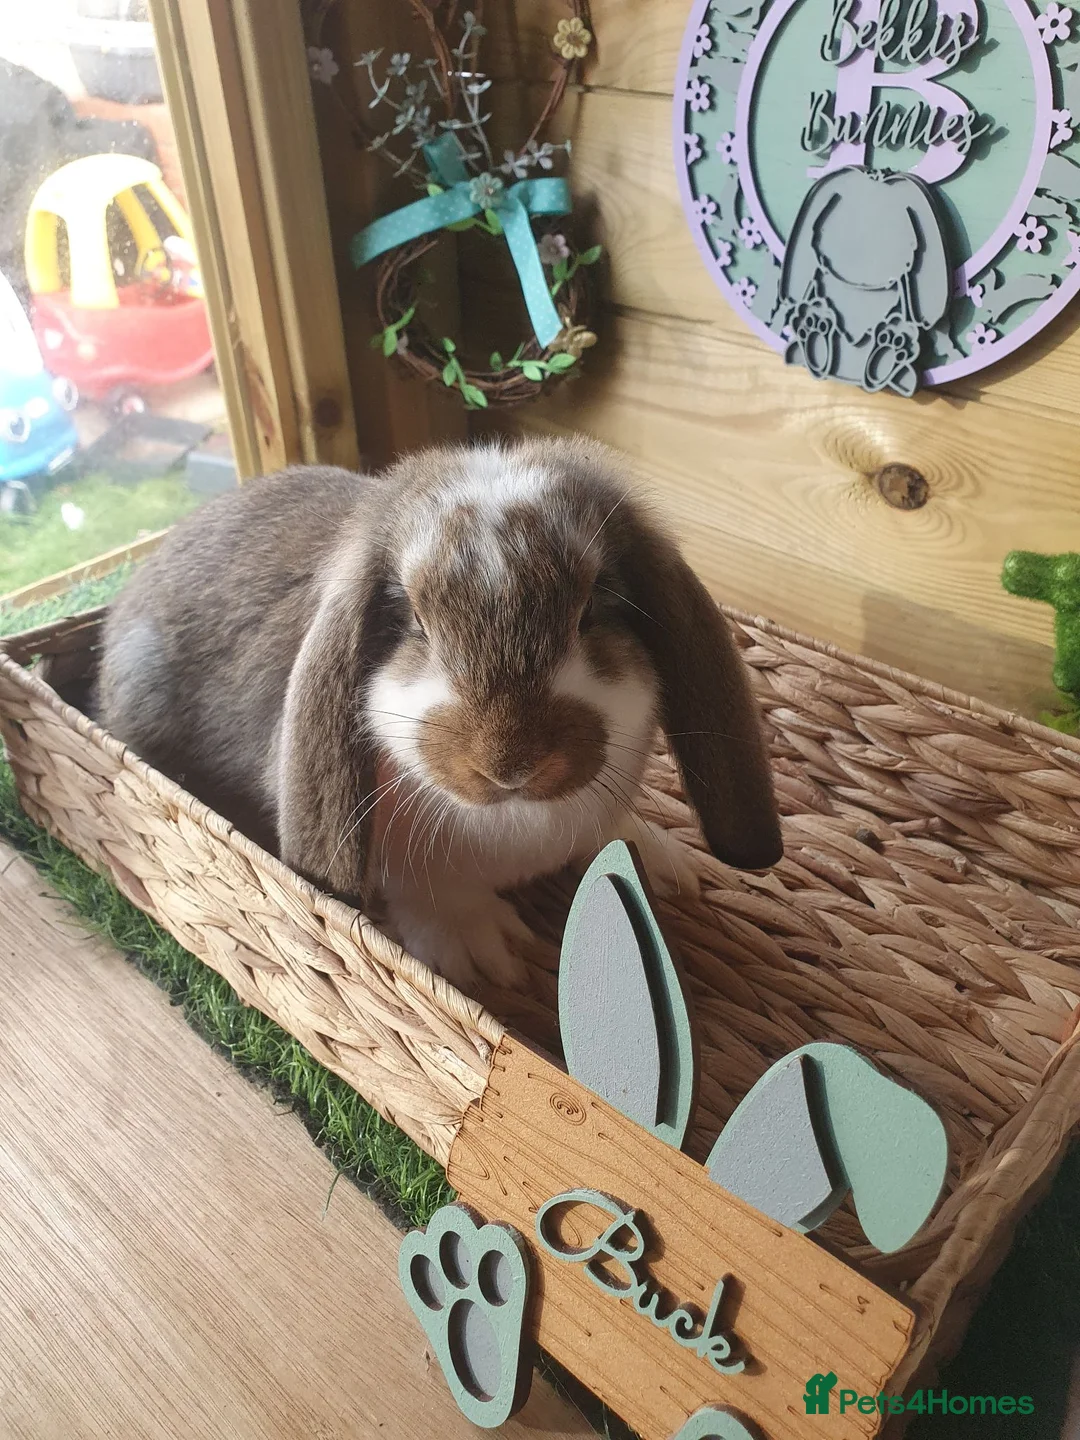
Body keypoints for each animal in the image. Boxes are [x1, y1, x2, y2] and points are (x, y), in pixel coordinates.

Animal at [96, 435, 782, 994]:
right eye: (414, 622)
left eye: (594, 606)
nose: (511, 764)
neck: (516, 821)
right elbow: (431, 895)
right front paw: (488, 951)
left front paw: (657, 864)